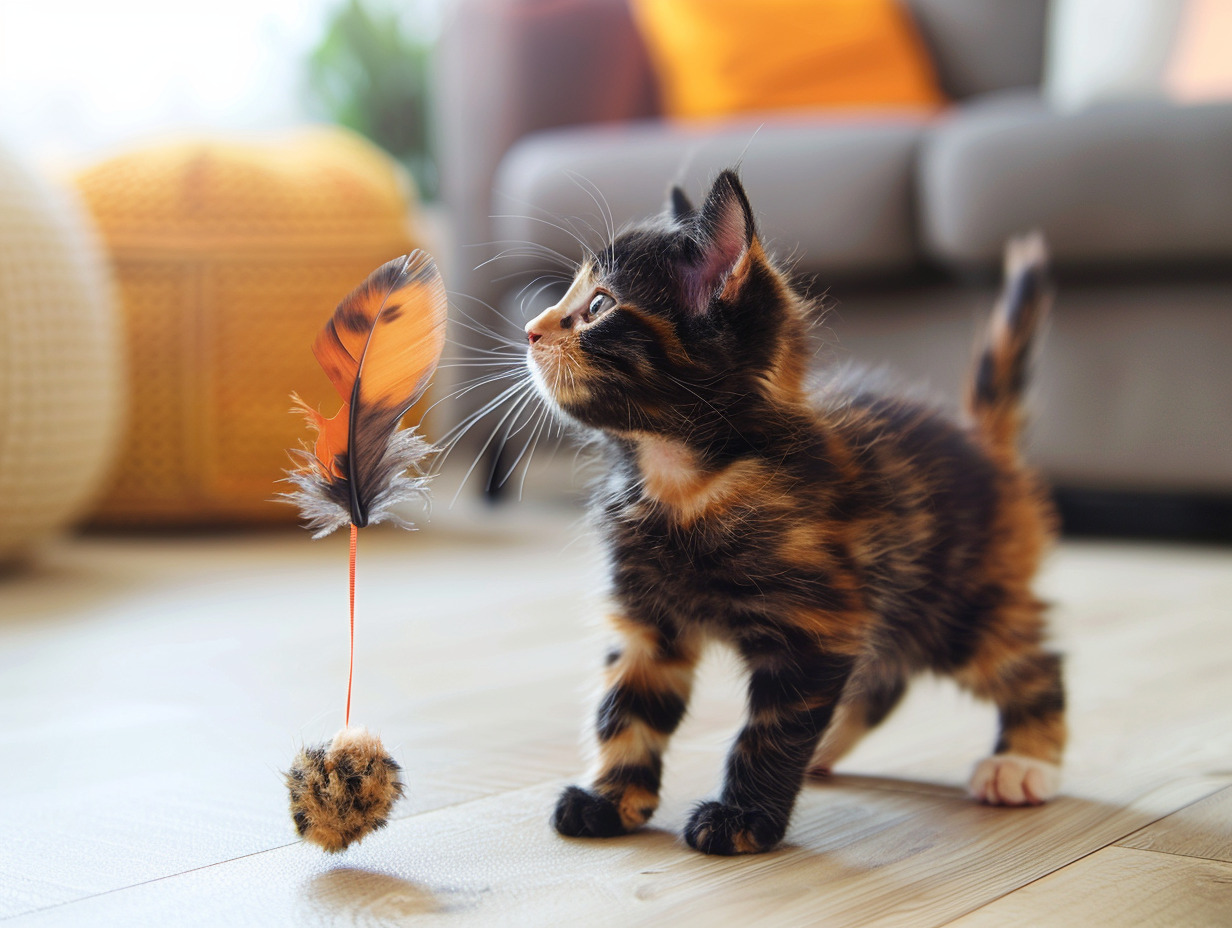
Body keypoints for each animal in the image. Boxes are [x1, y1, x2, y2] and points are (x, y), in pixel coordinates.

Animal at [524, 168, 1064, 852]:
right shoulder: (649, 622)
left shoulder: (816, 625)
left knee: (1033, 663)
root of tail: (981, 441)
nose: (529, 329)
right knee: (883, 677)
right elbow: (627, 710)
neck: (684, 482)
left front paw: (743, 819)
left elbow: (773, 730)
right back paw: (830, 747)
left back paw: (1024, 763)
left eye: (598, 306)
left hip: (961, 605)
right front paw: (610, 800)